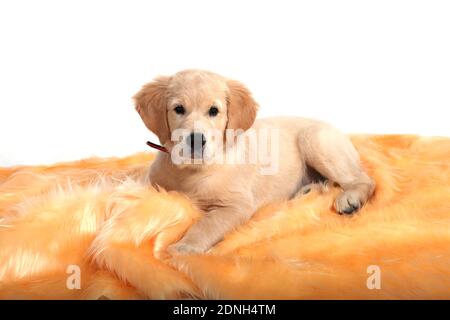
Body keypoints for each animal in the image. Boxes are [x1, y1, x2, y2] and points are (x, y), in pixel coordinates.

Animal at [134, 70, 376, 255]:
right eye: (178, 109)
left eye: (214, 111)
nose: (195, 140)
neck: (190, 171)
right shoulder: (152, 184)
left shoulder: (236, 205)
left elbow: (207, 223)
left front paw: (185, 247)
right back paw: (305, 191)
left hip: (314, 139)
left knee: (364, 180)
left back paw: (351, 199)